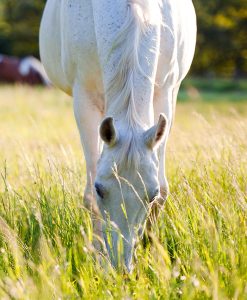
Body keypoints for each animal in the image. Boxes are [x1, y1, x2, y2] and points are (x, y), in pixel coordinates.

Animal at [39, 0, 196, 272]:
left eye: (150, 194)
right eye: (101, 189)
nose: (121, 269)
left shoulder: (166, 92)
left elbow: (163, 188)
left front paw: (150, 255)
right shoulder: (84, 99)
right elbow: (89, 194)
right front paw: (97, 256)